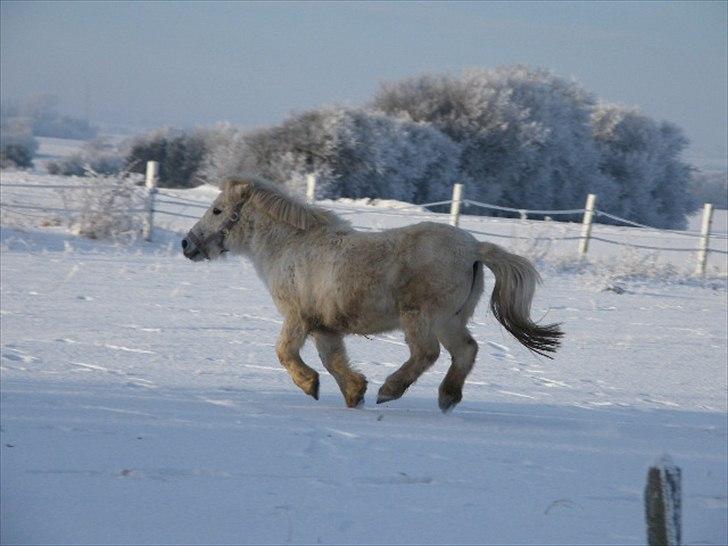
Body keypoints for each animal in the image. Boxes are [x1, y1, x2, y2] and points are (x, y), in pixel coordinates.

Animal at [183, 176, 564, 410]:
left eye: (217, 210)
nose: (187, 244)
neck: (291, 247)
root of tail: (474, 248)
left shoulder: (297, 318)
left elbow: (285, 352)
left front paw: (310, 385)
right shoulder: (325, 327)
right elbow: (334, 361)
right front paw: (355, 393)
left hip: (421, 318)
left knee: (427, 353)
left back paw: (389, 391)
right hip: (449, 320)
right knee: (466, 351)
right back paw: (446, 398)